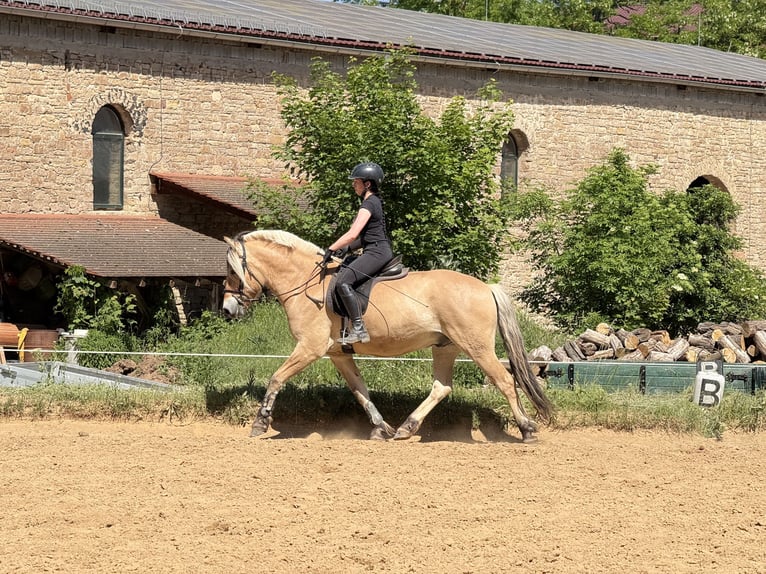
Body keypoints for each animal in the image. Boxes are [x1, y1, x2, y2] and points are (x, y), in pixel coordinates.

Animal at [222, 229, 552, 441]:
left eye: (233, 272)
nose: (227, 310)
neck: (307, 283)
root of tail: (486, 287)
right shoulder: (337, 354)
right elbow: (360, 391)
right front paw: (382, 428)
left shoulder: (309, 348)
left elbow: (276, 378)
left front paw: (260, 422)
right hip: (445, 346)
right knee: (441, 387)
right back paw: (407, 427)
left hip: (477, 347)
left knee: (505, 381)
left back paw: (527, 429)